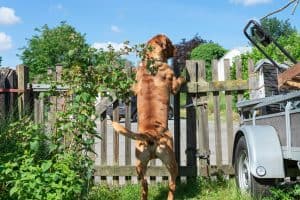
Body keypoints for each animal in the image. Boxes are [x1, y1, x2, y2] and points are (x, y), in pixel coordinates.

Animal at [111, 34, 184, 200]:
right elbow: (179, 80)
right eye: (170, 43)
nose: (176, 48)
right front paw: (185, 75)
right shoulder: (174, 84)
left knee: (144, 184)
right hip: (171, 161)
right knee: (171, 183)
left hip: (139, 163)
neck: (152, 61)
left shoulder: (134, 86)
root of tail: (150, 135)